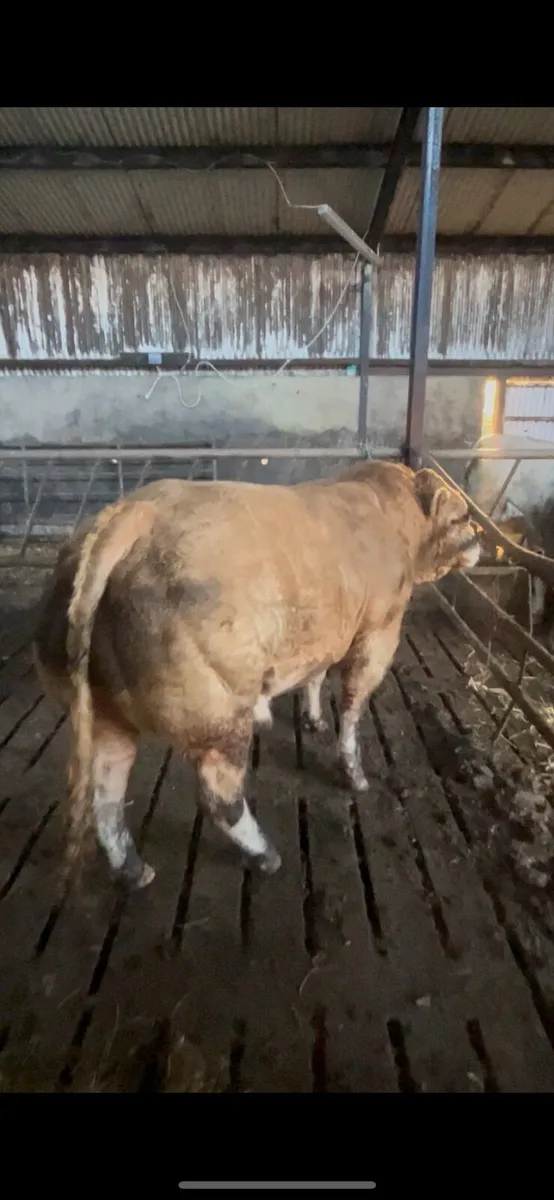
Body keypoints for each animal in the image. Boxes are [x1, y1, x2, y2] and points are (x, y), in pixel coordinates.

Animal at [33, 461, 480, 891]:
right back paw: (265, 855)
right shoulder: (378, 631)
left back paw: (133, 870)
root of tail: (132, 514)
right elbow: (354, 704)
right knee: (219, 794)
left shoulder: (325, 630)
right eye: (461, 515)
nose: (477, 537)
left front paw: (313, 719)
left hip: (107, 713)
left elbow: (314, 675)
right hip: (218, 710)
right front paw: (354, 774)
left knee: (106, 793)